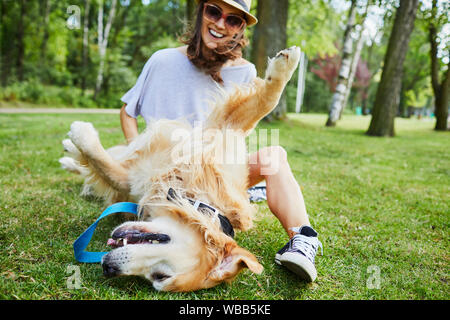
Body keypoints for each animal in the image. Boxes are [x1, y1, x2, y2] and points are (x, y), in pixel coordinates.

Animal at [59, 46, 298, 292]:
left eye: (159, 276)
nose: (108, 267)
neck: (190, 192)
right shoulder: (221, 130)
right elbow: (265, 102)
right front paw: (285, 64)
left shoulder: (131, 183)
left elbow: (105, 168)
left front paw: (81, 135)